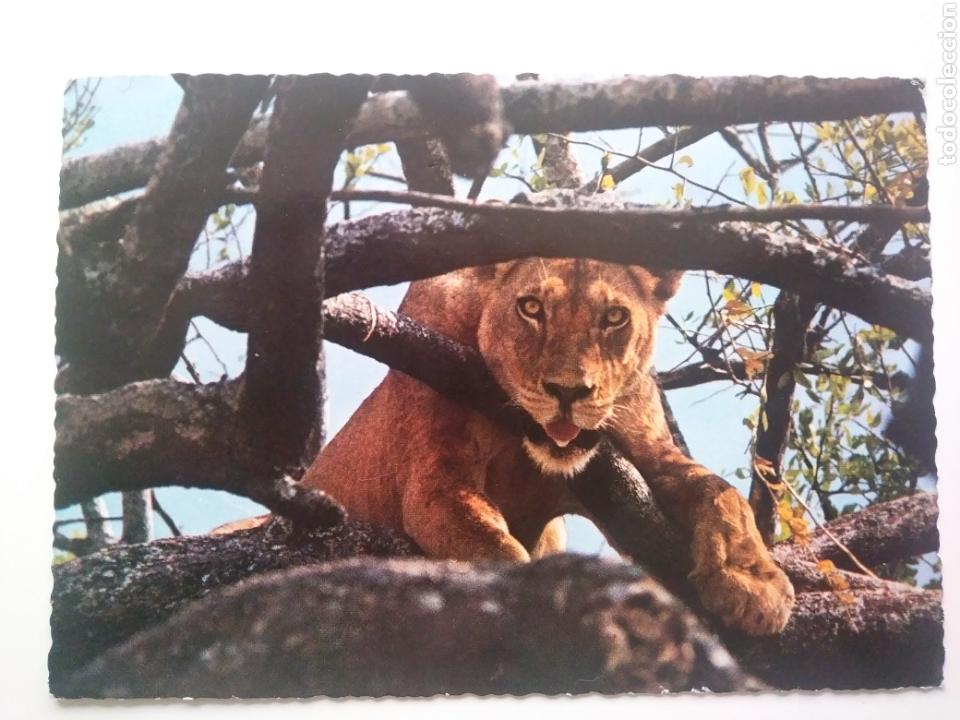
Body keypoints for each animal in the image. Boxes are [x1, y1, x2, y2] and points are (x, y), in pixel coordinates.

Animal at [221, 258, 795, 635]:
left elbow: (719, 493)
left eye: (614, 317)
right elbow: (497, 550)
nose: (568, 391)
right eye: (531, 308)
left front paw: (755, 584)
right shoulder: (438, 481)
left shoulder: (649, 450)